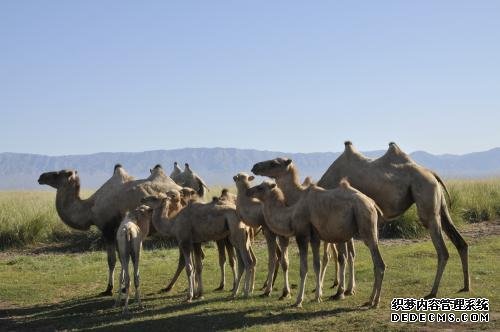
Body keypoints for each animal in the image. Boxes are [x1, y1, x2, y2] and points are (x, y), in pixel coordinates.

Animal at [37, 163, 182, 296]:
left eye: (57, 174)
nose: (41, 177)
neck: (90, 208)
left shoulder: (108, 231)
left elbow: (111, 260)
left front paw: (109, 288)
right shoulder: (117, 233)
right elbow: (122, 258)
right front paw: (122, 286)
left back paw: (170, 287)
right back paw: (170, 286)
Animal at [247, 180, 386, 308]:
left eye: (260, 187)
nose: (248, 191)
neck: (291, 215)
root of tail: (372, 203)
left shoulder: (302, 236)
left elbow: (303, 268)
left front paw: (298, 301)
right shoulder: (315, 238)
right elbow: (317, 265)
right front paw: (317, 297)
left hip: (365, 222)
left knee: (378, 263)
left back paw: (374, 302)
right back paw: (369, 300)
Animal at [252, 159, 358, 298]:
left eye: (274, 163)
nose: (255, 166)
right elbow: (285, 261)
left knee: (343, 256)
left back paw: (342, 289)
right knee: (348, 254)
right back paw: (348, 288)